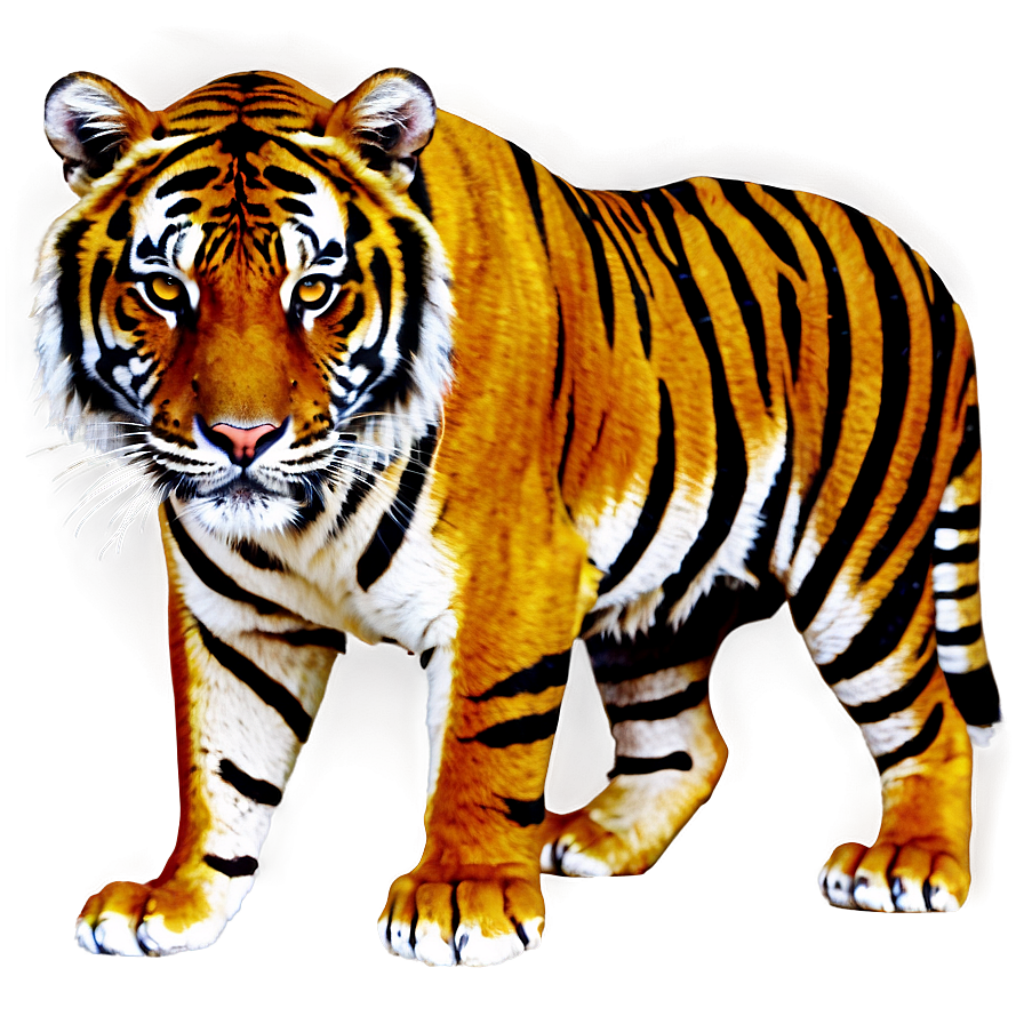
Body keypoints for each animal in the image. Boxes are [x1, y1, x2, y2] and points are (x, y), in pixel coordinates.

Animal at [33, 65, 1000, 965]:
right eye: (165, 290)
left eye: (313, 291)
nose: (243, 438)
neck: (312, 514)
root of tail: (923, 265)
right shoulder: (234, 617)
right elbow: (223, 760)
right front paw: (177, 900)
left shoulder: (512, 576)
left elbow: (482, 737)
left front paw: (460, 899)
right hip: (656, 598)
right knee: (687, 742)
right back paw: (597, 840)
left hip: (855, 573)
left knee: (935, 722)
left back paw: (907, 865)